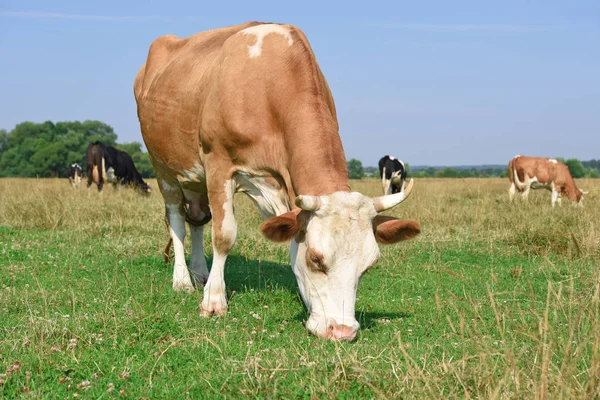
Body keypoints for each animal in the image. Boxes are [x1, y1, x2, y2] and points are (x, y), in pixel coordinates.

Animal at [134, 21, 420, 340]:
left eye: (369, 265)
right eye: (316, 259)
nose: (343, 331)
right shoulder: (218, 163)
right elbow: (224, 235)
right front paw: (214, 301)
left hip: (194, 178)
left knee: (196, 220)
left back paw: (200, 274)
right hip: (163, 167)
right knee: (177, 221)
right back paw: (183, 280)